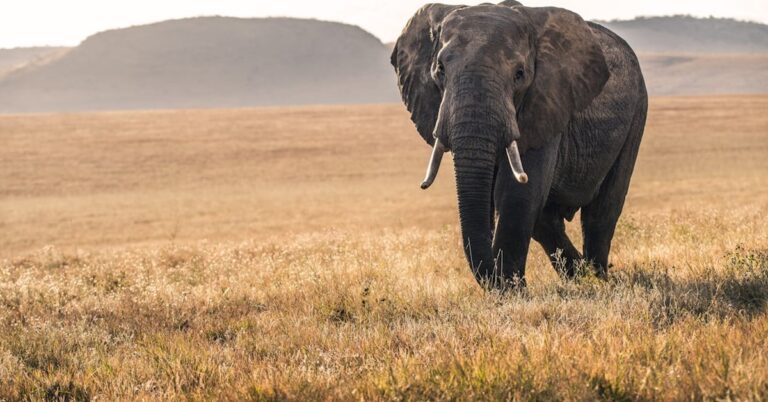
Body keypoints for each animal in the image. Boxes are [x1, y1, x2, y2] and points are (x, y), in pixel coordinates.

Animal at [391, 1, 647, 290]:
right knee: (547, 221)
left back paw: (598, 279)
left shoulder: (546, 101)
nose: (497, 280)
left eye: (519, 74)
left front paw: (512, 292)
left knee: (602, 211)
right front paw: (510, 288)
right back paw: (580, 276)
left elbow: (516, 194)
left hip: (638, 111)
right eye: (440, 70)